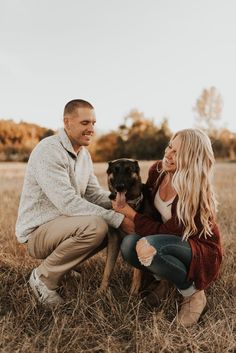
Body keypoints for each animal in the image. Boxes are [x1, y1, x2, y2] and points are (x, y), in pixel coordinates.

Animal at [99, 158, 148, 292]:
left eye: (129, 170)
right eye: (115, 170)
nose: (120, 187)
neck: (128, 203)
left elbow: (137, 273)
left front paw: (133, 293)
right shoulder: (113, 241)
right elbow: (107, 269)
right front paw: (101, 291)